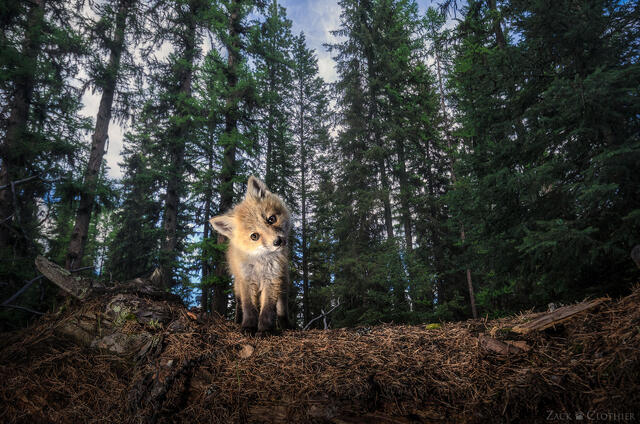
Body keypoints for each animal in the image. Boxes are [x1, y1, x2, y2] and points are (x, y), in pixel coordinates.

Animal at [209, 176, 291, 336]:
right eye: (254, 236)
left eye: (271, 219)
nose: (277, 241)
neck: (260, 262)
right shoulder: (246, 280)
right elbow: (249, 307)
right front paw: (249, 327)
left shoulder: (272, 279)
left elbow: (268, 309)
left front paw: (265, 330)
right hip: (237, 284)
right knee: (239, 303)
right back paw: (237, 320)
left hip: (283, 282)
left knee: (282, 308)